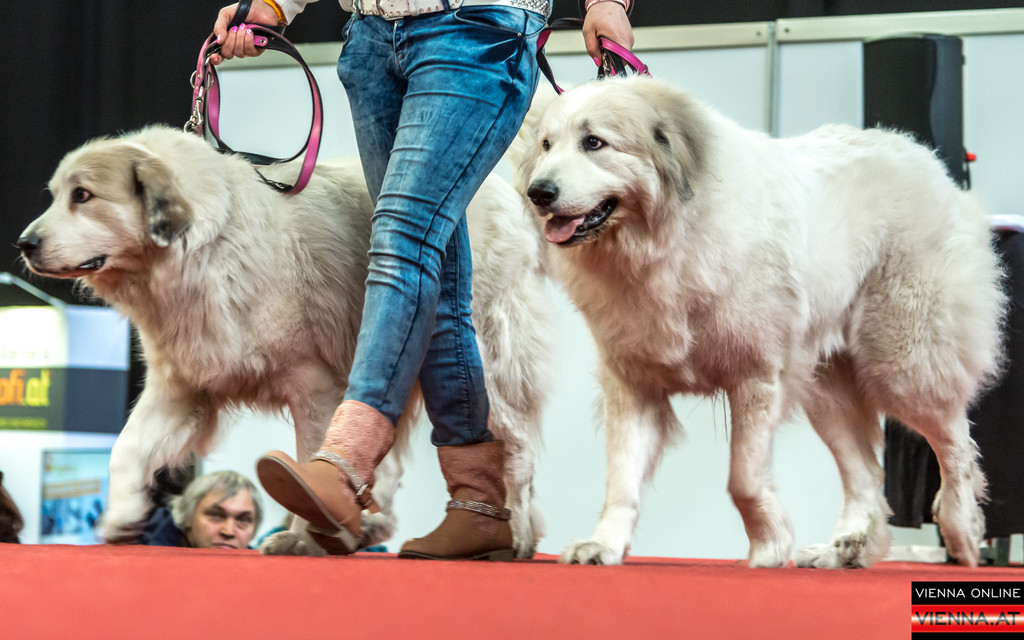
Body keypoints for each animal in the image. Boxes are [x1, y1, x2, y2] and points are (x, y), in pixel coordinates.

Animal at [17, 125, 551, 556]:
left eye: (83, 195)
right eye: (55, 195)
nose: (24, 244)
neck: (211, 243)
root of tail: (502, 191)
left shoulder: (314, 386)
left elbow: (310, 458)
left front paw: (303, 537)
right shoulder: (180, 388)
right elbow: (124, 451)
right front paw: (122, 515)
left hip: (485, 363)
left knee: (517, 451)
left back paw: (517, 537)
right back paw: (369, 530)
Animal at [517, 76, 1004, 568]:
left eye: (594, 143)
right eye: (546, 145)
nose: (538, 192)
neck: (668, 235)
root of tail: (921, 155)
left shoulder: (756, 377)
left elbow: (744, 479)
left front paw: (769, 547)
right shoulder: (633, 383)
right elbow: (621, 478)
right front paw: (604, 544)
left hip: (905, 364)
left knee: (956, 445)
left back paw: (962, 533)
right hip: (826, 388)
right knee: (866, 471)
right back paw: (844, 549)